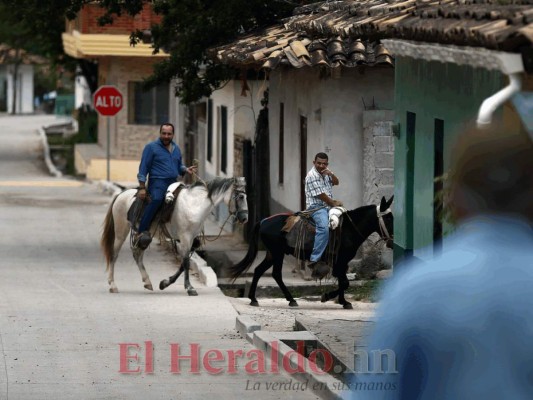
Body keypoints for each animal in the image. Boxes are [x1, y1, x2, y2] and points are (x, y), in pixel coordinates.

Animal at [101, 177, 247, 296]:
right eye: (240, 196)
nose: (244, 218)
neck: (195, 205)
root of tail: (121, 194)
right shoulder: (185, 238)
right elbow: (186, 262)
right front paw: (189, 288)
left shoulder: (191, 239)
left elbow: (184, 263)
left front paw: (165, 283)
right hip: (121, 232)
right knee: (114, 255)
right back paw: (113, 285)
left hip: (142, 236)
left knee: (138, 254)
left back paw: (147, 282)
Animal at [227, 197, 392, 310]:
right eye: (388, 218)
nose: (392, 241)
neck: (349, 229)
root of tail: (264, 221)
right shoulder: (340, 261)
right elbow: (344, 282)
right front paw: (328, 297)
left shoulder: (342, 262)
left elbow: (343, 282)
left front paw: (344, 302)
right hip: (277, 253)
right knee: (276, 274)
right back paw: (290, 300)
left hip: (272, 254)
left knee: (258, 270)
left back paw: (254, 298)